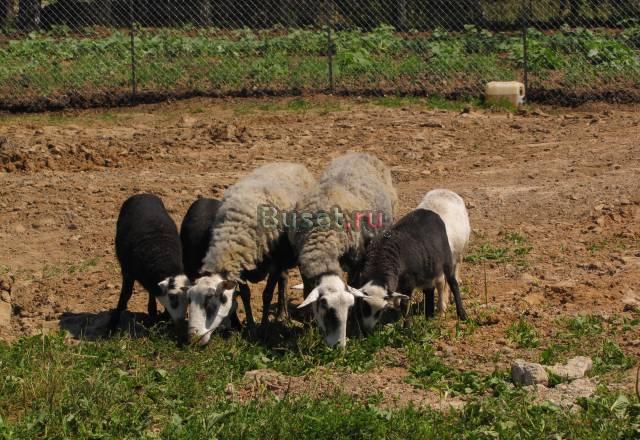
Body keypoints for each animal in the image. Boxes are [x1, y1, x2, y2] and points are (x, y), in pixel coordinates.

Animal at [110, 194, 190, 330]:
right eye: (172, 298)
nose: (180, 322)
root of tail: (143, 194)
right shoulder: (127, 272)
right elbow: (125, 295)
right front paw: (112, 324)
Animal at [187, 163, 316, 345]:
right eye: (189, 299)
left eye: (211, 303)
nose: (192, 338)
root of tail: (293, 164)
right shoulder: (241, 269)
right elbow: (246, 295)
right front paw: (252, 328)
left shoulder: (274, 264)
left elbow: (266, 295)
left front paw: (263, 328)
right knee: (284, 279)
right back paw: (281, 314)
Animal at [292, 152, 398, 348]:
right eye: (325, 308)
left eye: (348, 308)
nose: (339, 347)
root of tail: (362, 153)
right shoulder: (303, 266)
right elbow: (307, 294)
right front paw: (308, 327)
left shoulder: (356, 262)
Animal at [354, 189, 471, 332]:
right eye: (363, 306)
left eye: (380, 310)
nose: (367, 330)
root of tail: (444, 190)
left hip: (453, 257)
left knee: (452, 279)